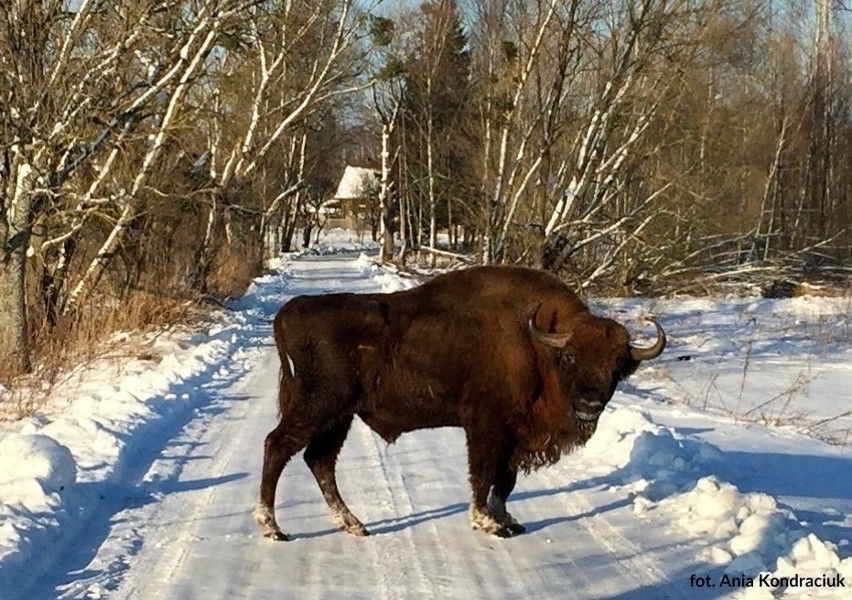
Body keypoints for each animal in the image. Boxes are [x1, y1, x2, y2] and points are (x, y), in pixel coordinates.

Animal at [253, 264, 664, 540]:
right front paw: (487, 523)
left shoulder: (512, 436)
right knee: (278, 446)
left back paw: (354, 525)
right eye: (571, 358)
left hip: (339, 417)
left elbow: (505, 481)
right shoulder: (486, 426)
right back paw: (272, 528)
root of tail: (289, 312)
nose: (590, 404)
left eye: (618, 365)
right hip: (318, 408)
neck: (537, 343)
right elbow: (482, 474)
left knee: (319, 461)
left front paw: (508, 520)